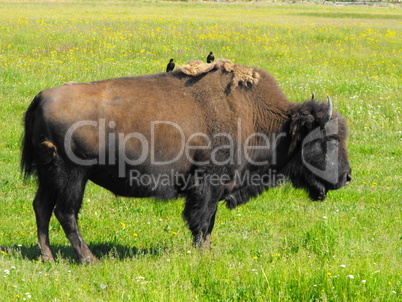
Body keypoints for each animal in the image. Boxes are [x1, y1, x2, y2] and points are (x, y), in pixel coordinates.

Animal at [20, 59, 350, 262]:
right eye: (327, 139)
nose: (346, 177)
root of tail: (42, 96)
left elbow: (207, 222)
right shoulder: (208, 186)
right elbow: (202, 221)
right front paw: (203, 253)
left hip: (50, 176)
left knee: (42, 207)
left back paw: (48, 256)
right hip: (72, 176)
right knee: (65, 213)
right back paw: (89, 259)